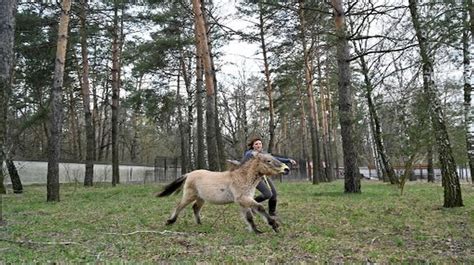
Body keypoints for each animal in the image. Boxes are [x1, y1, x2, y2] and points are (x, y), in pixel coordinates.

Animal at [156, 152, 288, 232]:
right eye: (268, 161)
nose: (286, 169)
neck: (242, 178)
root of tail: (189, 174)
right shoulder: (243, 199)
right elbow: (259, 208)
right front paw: (274, 225)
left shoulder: (245, 201)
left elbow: (249, 216)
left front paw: (256, 231)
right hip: (190, 195)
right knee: (179, 206)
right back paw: (170, 221)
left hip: (201, 198)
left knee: (195, 208)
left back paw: (200, 224)